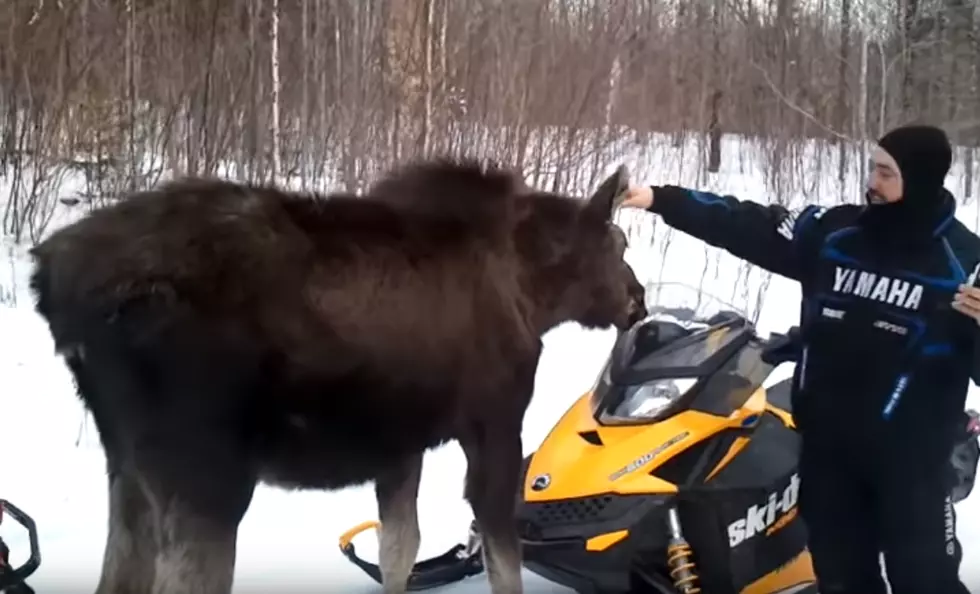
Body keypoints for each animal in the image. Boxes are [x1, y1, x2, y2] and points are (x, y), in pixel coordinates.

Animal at [26, 157, 648, 592]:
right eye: (619, 243)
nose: (638, 299)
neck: (537, 293)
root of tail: (55, 285)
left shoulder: (401, 444)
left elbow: (400, 549)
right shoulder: (494, 423)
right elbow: (503, 563)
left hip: (128, 467)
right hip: (207, 474)